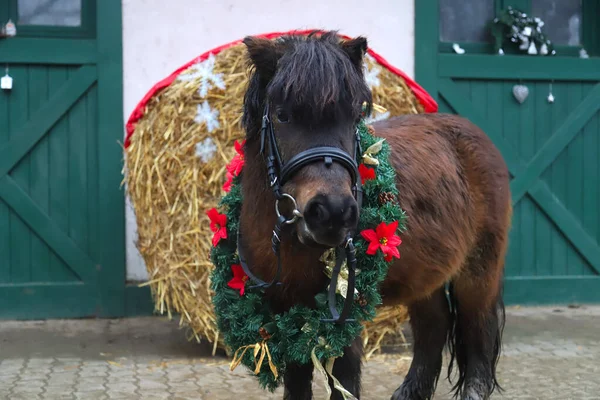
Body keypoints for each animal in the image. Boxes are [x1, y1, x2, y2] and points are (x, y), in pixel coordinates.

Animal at [237, 31, 508, 400]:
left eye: (353, 116)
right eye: (282, 115)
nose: (333, 213)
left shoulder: (345, 313)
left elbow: (345, 378)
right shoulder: (286, 309)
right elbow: (297, 381)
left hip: (478, 274)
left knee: (478, 337)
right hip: (427, 277)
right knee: (434, 326)